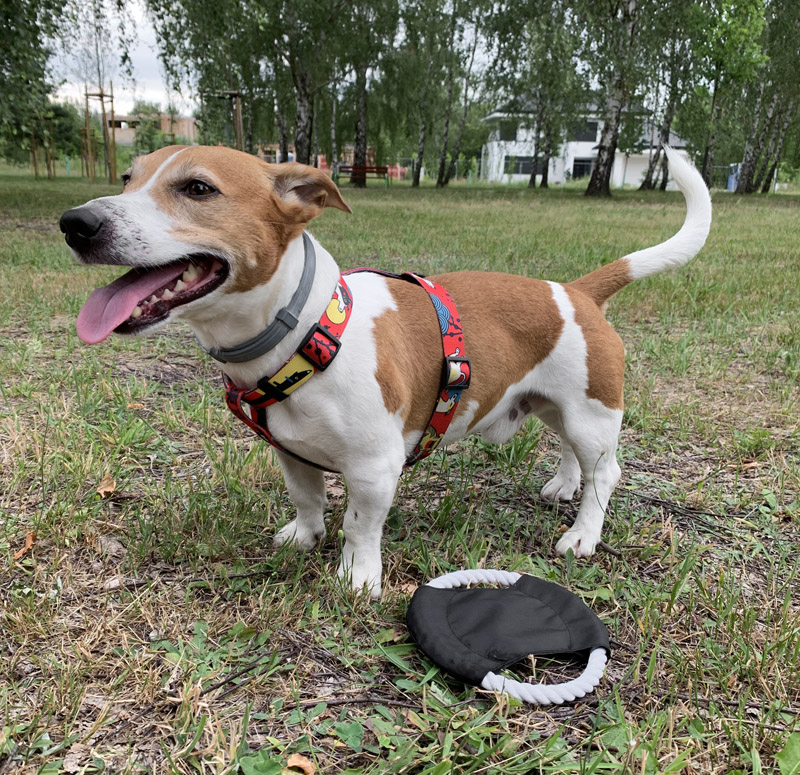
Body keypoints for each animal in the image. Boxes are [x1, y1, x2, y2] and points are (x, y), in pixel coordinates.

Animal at [62, 149, 712, 604]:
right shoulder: (291, 453)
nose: (75, 221)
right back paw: (562, 486)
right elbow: (307, 499)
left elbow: (358, 525)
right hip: (559, 408)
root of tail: (576, 292)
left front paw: (357, 577)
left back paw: (583, 533)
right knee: (574, 455)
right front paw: (304, 537)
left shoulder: (375, 469)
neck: (305, 334)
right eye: (128, 177)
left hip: (591, 413)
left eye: (197, 188)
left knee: (607, 472)